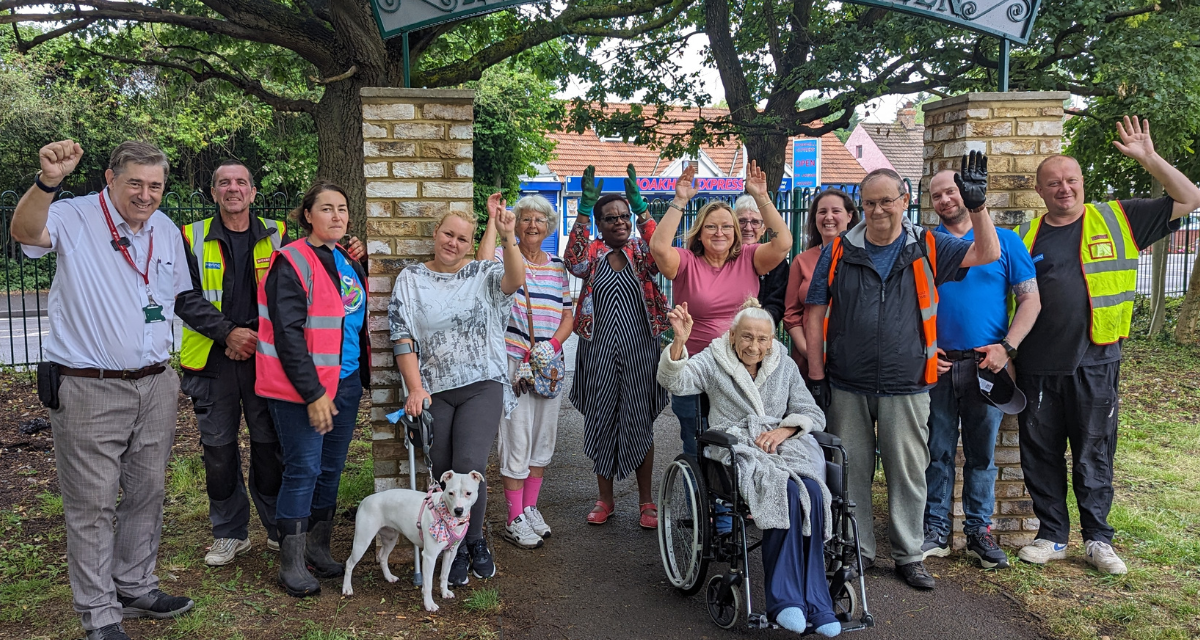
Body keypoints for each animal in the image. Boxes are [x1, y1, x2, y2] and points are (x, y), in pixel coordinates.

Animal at [340, 468, 480, 609]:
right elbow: (428, 584)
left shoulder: (451, 552)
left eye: (468, 493)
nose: (458, 510)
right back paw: (347, 588)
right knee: (349, 563)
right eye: (451, 493)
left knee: (383, 557)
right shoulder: (429, 556)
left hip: (390, 538)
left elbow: (445, 575)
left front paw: (444, 592)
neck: (447, 515)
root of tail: (365, 500)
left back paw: (389, 577)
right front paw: (429, 604)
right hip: (362, 541)